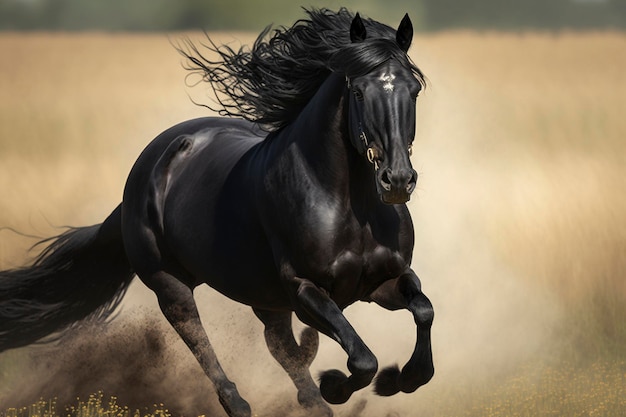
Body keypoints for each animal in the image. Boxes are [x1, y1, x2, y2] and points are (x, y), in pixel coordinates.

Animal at [0, 8, 428, 416]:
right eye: (359, 91)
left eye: (414, 90)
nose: (397, 180)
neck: (347, 204)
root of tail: (147, 167)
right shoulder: (306, 290)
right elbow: (362, 359)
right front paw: (336, 385)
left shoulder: (383, 280)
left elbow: (422, 311)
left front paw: (399, 379)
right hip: (169, 281)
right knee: (196, 335)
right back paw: (241, 402)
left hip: (262, 293)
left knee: (279, 345)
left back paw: (312, 404)